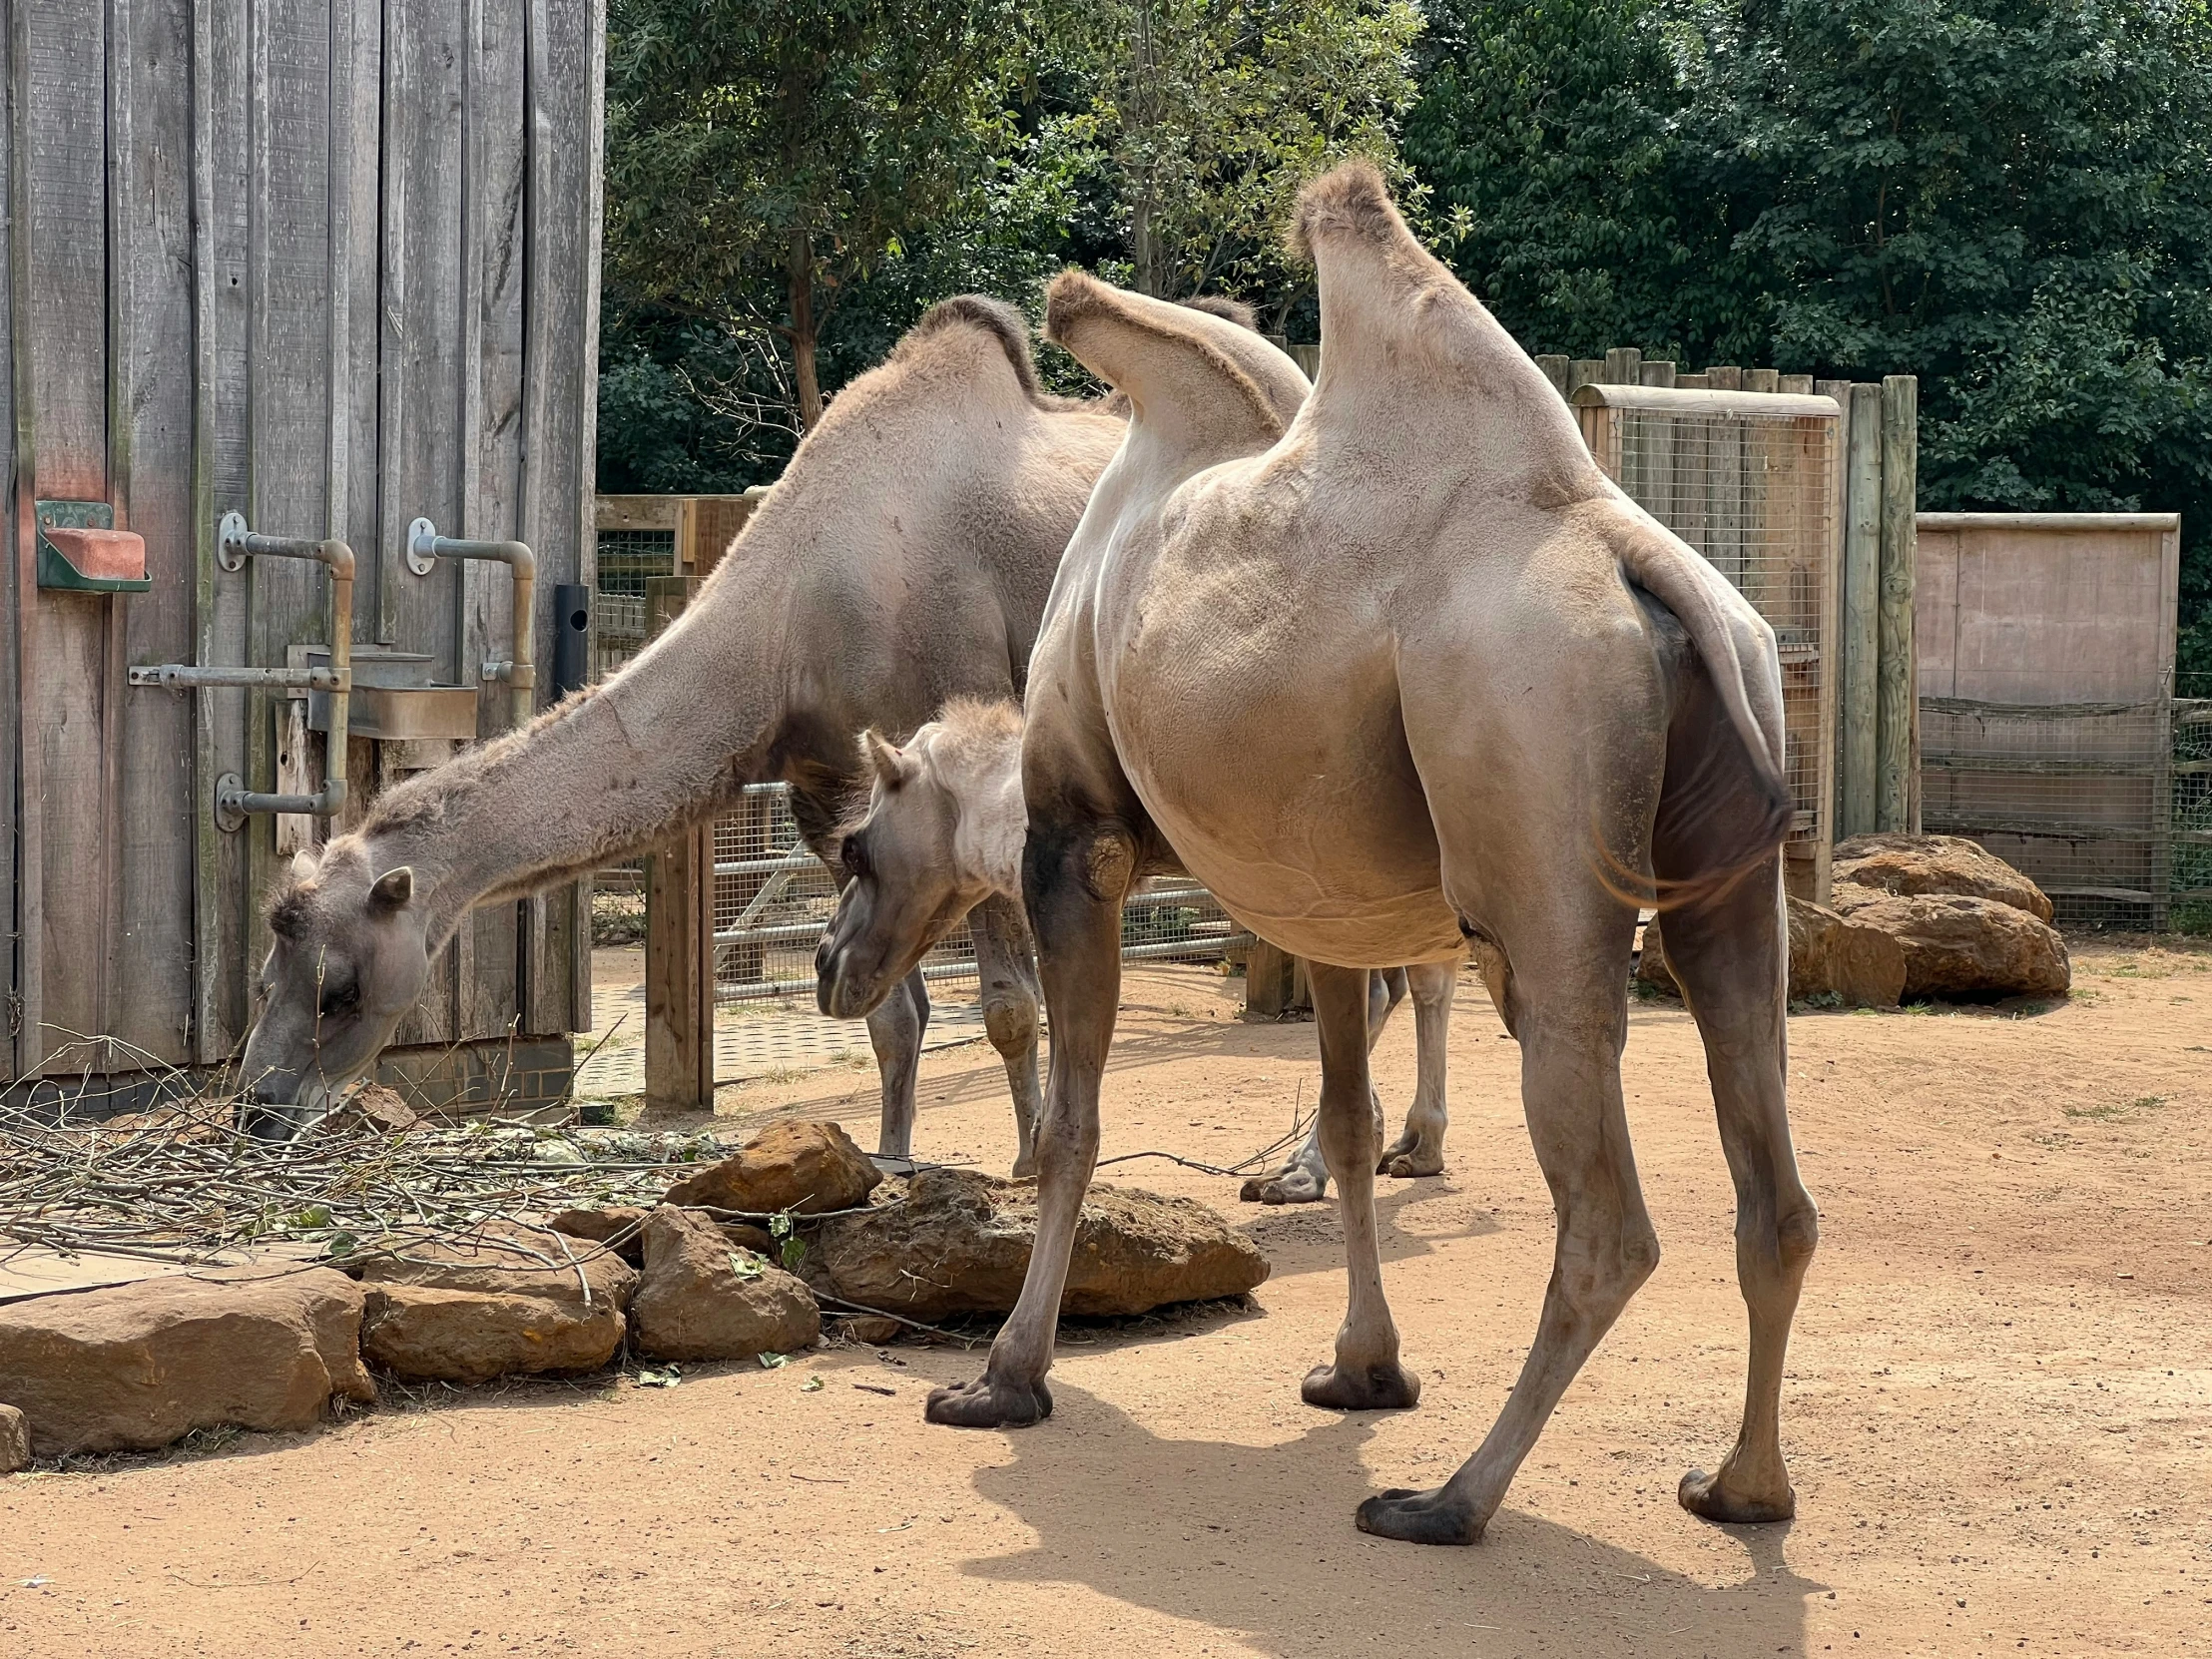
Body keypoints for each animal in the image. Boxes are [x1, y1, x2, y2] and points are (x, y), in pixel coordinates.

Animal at [924, 162, 1822, 1557]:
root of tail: (1642, 567)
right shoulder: (1323, 897)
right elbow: (1343, 1129)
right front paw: (1361, 1370)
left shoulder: (1076, 836)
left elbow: (1076, 1121)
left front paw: (1005, 1378)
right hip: (1732, 866)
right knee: (1769, 1183)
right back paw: (1737, 1489)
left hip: (1531, 799)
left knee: (1606, 1218)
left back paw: (1446, 1500)